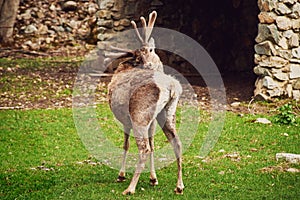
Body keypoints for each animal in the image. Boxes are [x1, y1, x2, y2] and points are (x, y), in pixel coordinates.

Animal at [105, 10, 185, 195]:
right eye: (140, 54)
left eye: (149, 50)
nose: (148, 64)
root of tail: (172, 86)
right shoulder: (152, 120)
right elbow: (154, 143)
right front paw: (153, 178)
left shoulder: (125, 119)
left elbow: (126, 144)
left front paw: (121, 175)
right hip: (167, 114)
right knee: (177, 143)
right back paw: (179, 186)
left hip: (139, 116)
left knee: (144, 148)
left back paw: (130, 188)